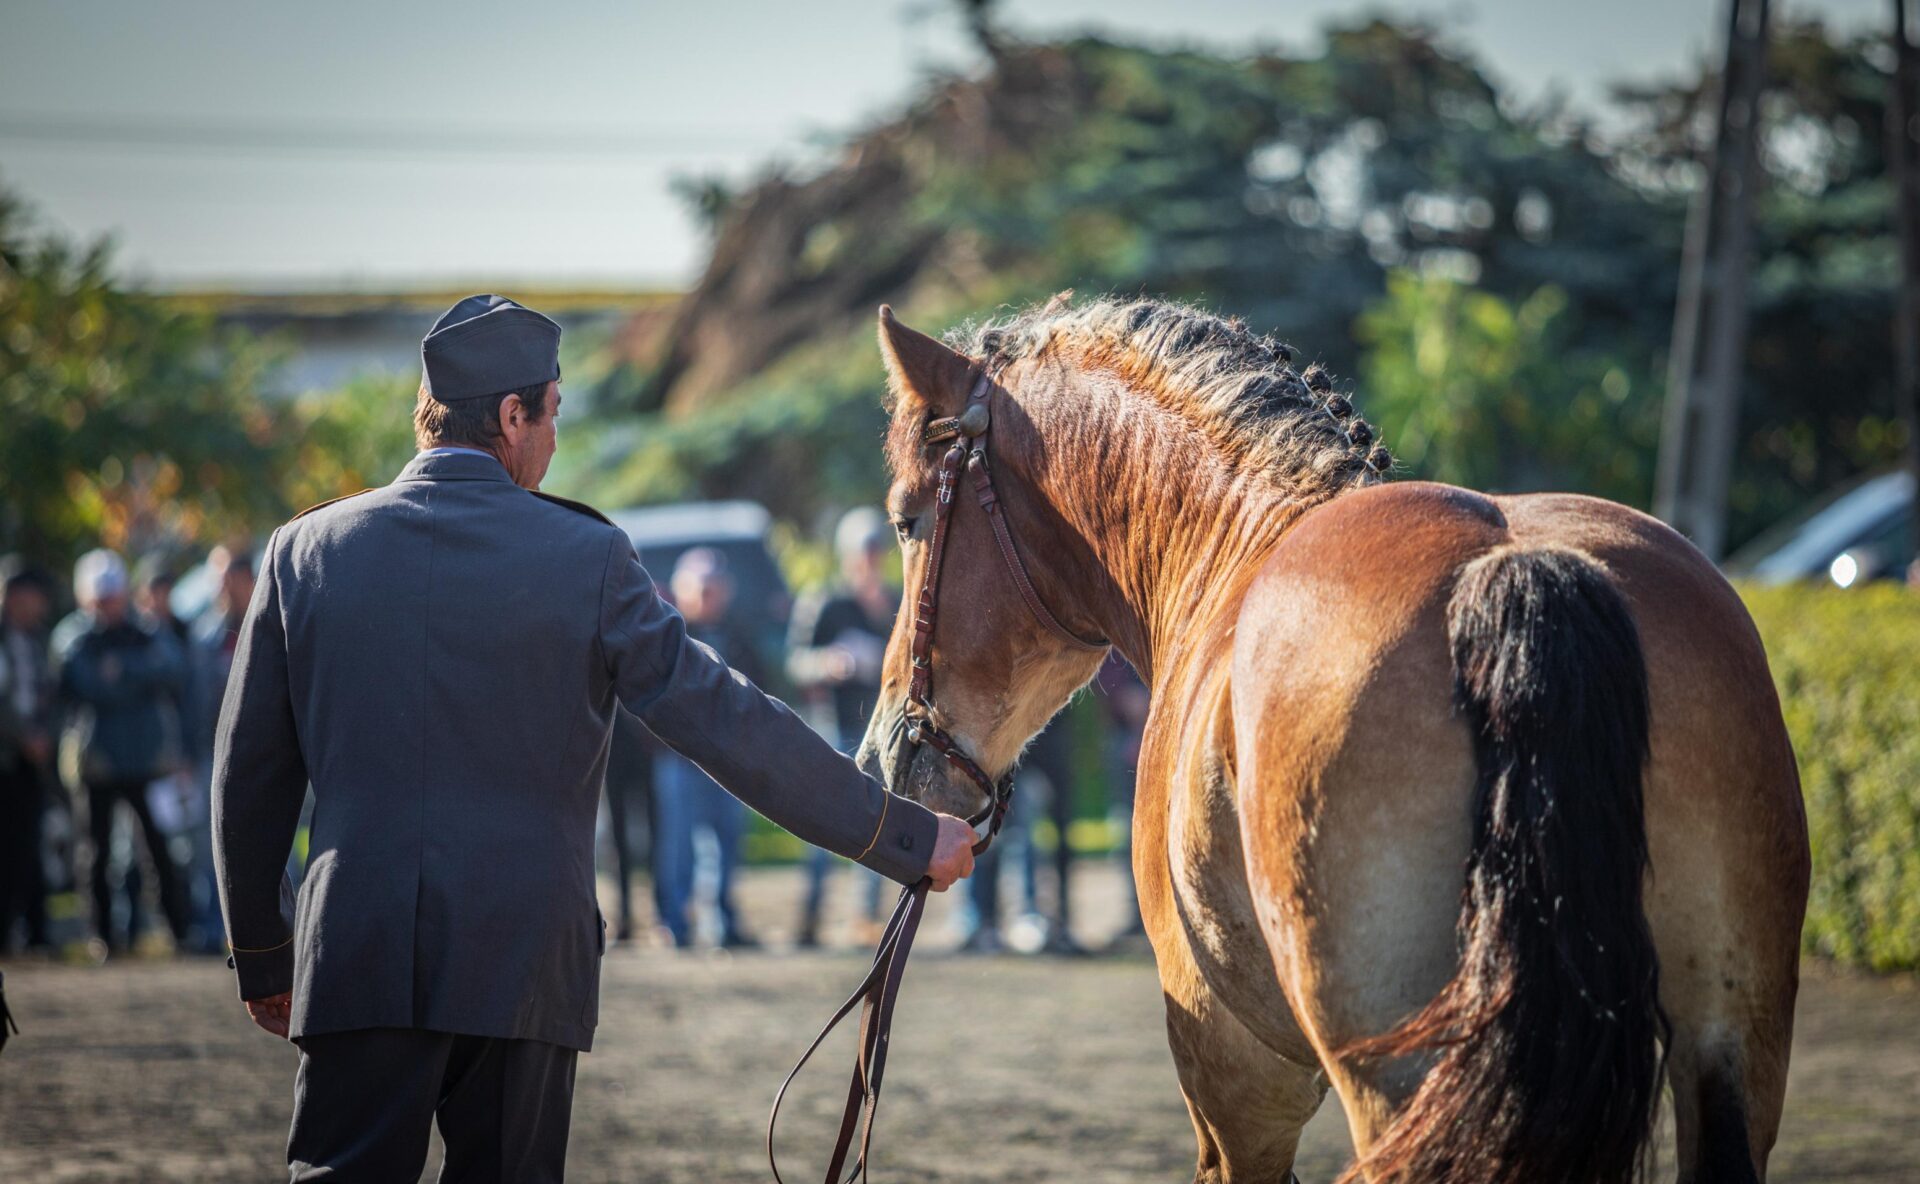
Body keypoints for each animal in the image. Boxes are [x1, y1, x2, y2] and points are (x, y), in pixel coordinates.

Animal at [864, 297, 1804, 1182]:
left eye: (907, 522)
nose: (882, 756)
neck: (1235, 550)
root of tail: (1512, 569)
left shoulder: (1235, 1077)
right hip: (1732, 1040)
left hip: (1397, 1073)